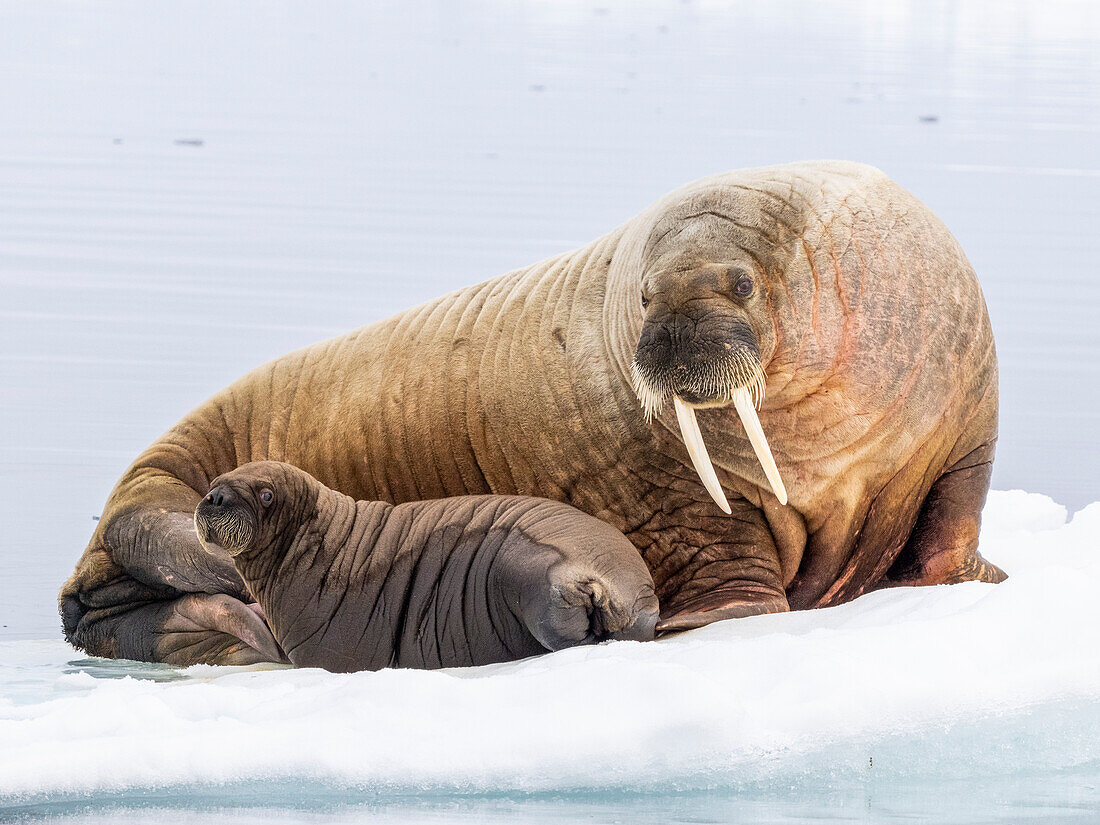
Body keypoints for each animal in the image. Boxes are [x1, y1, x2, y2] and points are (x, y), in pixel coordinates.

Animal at [192, 462, 655, 673]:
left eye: (266, 495)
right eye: (214, 482)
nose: (214, 496)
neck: (316, 545)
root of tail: (608, 585)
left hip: (536, 576)